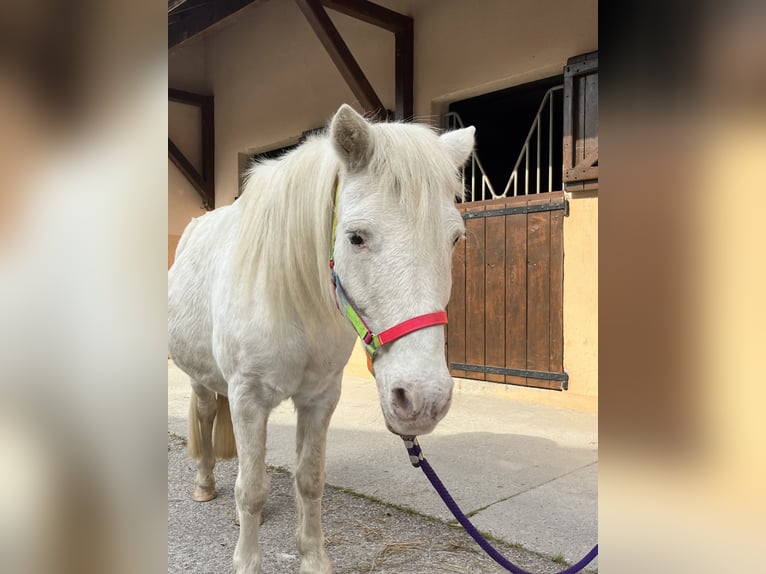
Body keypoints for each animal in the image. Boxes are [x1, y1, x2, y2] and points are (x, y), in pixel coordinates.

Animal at [170, 104, 474, 574]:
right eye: (356, 237)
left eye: (455, 238)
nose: (424, 400)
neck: (295, 302)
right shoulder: (247, 397)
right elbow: (250, 489)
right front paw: (248, 561)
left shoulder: (320, 397)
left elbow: (309, 479)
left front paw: (313, 558)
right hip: (203, 381)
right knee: (205, 418)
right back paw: (204, 485)